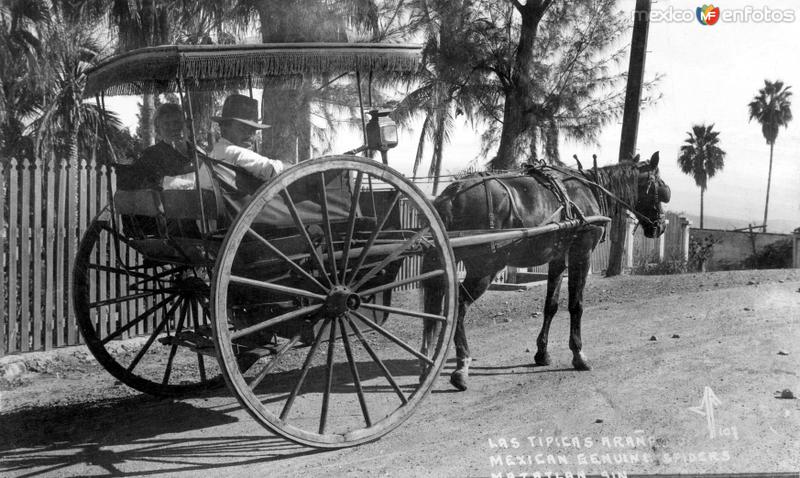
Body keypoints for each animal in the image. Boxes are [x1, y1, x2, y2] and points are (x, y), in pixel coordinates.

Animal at [422, 151, 672, 390]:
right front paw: (578, 354)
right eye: (661, 188)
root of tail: (451, 196)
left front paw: (542, 353)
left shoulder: (558, 258)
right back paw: (461, 366)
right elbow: (576, 305)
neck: (590, 191)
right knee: (458, 305)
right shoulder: (581, 253)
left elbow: (550, 305)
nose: (660, 226)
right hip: (485, 267)